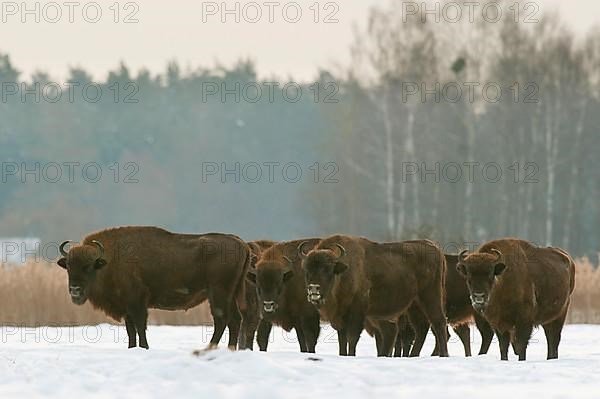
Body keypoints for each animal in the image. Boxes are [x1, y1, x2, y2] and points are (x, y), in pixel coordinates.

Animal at [57, 227, 250, 352]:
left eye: (88, 267)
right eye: (69, 266)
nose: (74, 289)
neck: (110, 260)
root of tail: (242, 244)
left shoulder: (137, 303)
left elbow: (140, 326)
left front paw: (144, 346)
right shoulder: (127, 307)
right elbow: (131, 330)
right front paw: (132, 347)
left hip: (218, 293)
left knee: (221, 319)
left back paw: (210, 347)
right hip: (231, 294)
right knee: (235, 319)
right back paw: (230, 349)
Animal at [302, 236, 448, 358]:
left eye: (327, 269)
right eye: (307, 270)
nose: (313, 288)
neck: (344, 272)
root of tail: (435, 248)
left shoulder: (357, 312)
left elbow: (352, 337)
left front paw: (351, 355)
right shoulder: (340, 317)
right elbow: (342, 340)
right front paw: (343, 355)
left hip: (430, 297)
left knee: (439, 322)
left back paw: (444, 355)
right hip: (414, 304)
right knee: (421, 328)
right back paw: (413, 356)